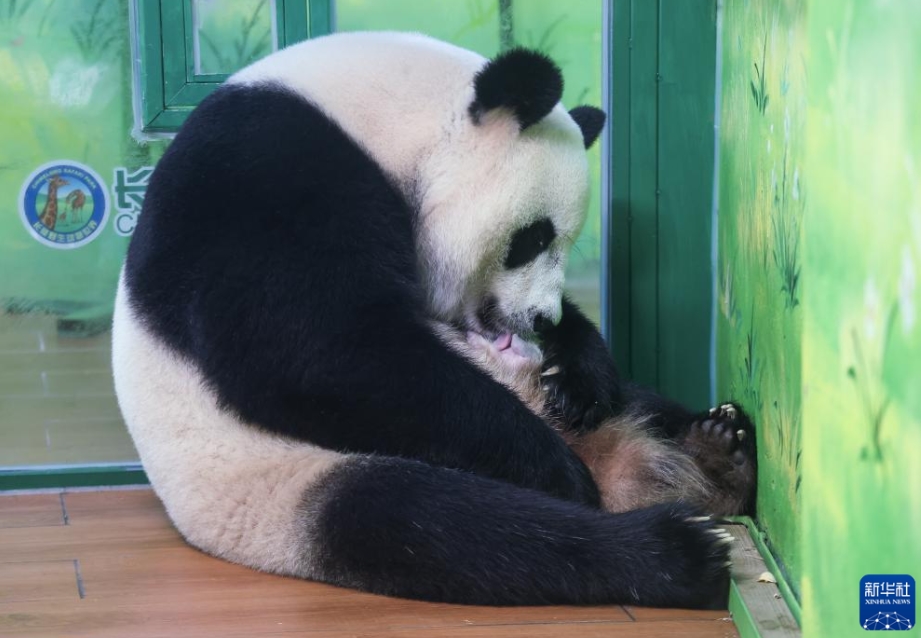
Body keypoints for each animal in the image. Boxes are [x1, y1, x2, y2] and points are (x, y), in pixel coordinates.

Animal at [113, 32, 748, 612]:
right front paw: (553, 468)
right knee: (444, 527)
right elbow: (309, 347)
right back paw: (670, 548)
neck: (375, 115)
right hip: (277, 481)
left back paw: (719, 449)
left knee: (640, 404)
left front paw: (579, 373)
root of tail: (620, 472)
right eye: (534, 237)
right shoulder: (263, 172)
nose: (539, 318)